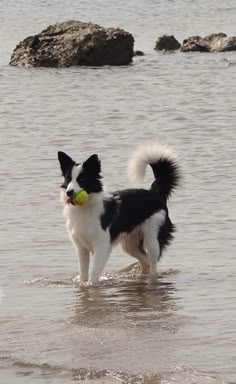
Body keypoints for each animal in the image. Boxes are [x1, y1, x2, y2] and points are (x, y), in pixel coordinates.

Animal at [58, 142, 180, 284]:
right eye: (68, 179)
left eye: (82, 179)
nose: (69, 192)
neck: (85, 208)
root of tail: (155, 193)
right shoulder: (81, 247)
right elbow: (83, 273)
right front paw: (83, 283)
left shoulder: (102, 245)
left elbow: (94, 272)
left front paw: (91, 285)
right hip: (130, 244)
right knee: (145, 261)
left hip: (152, 238)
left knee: (153, 264)